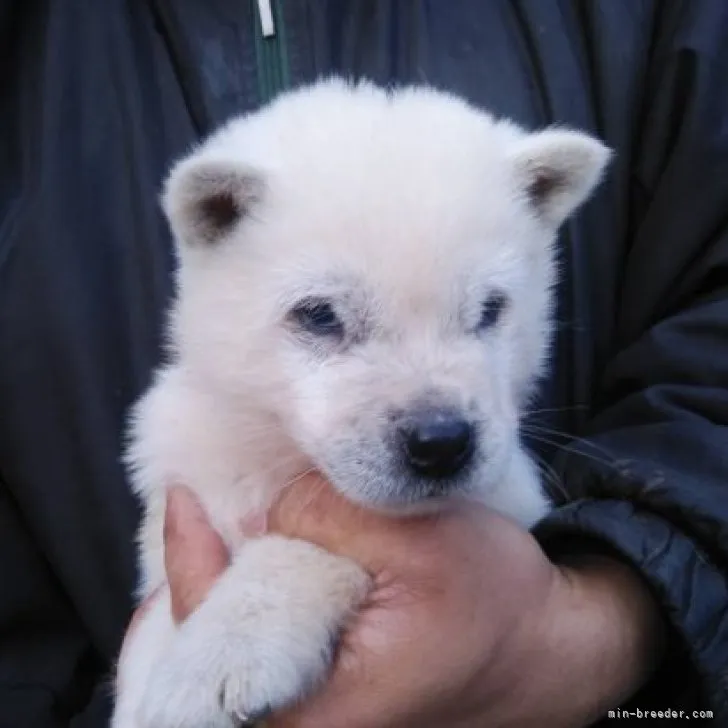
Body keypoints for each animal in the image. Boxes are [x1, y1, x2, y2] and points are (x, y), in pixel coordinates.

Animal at [111, 78, 612, 728]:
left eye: (490, 309)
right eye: (320, 315)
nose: (442, 442)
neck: (274, 456)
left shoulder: (506, 503)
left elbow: (305, 550)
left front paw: (225, 649)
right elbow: (153, 622)